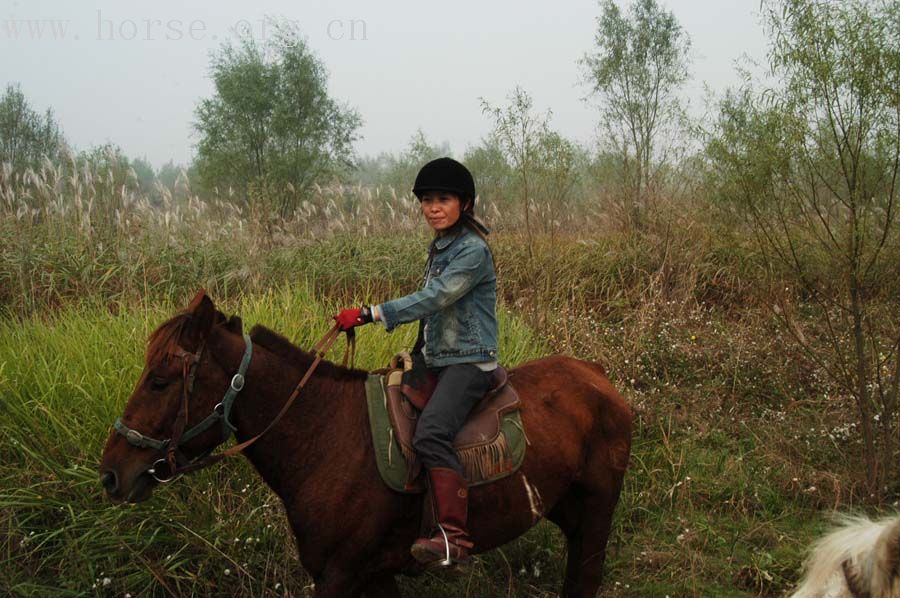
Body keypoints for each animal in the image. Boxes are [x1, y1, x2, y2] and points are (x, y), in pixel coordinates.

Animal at [100, 290, 632, 596]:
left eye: (160, 381)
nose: (111, 473)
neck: (324, 437)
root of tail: (596, 375)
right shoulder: (374, 576)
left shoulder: (340, 576)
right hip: (565, 508)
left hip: (598, 512)